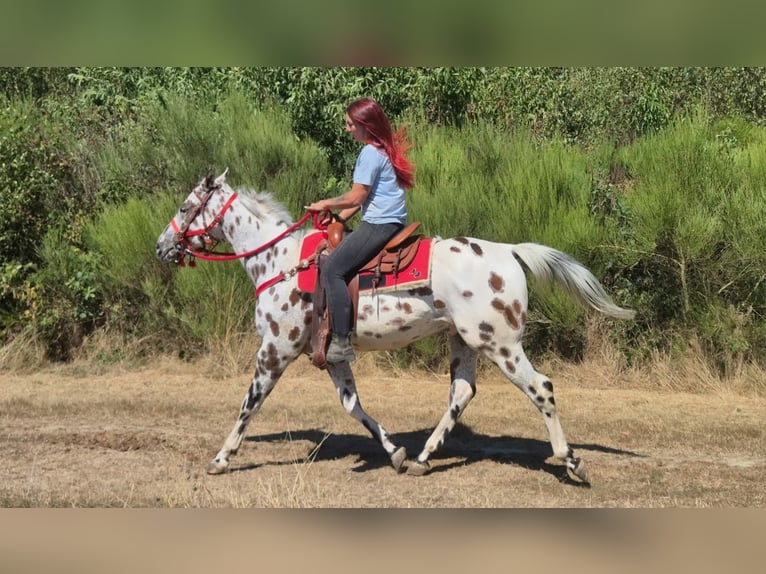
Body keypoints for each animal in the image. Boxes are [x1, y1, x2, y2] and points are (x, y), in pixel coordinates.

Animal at [155, 170, 635, 482]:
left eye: (185, 206)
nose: (162, 246)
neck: (281, 263)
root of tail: (510, 252)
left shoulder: (275, 349)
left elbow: (249, 405)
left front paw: (222, 458)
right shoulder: (331, 356)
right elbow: (353, 405)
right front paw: (396, 452)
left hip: (501, 344)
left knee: (541, 389)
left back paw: (572, 463)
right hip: (465, 342)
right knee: (462, 392)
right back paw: (423, 458)